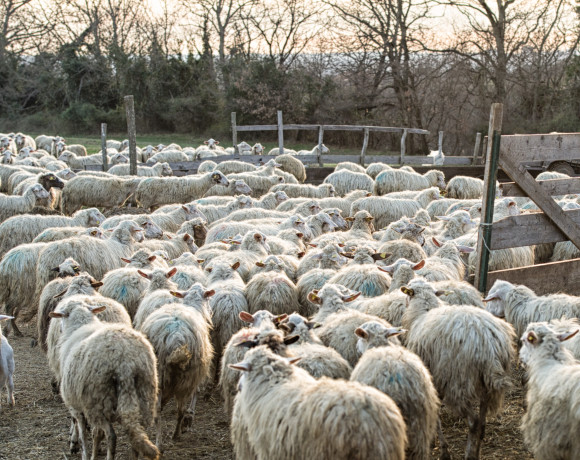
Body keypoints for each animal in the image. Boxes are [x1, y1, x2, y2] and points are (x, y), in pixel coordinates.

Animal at [49, 300, 159, 458]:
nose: (59, 330)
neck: (79, 326)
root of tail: (125, 361)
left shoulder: (75, 404)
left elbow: (82, 432)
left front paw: (82, 451)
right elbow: (96, 434)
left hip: (98, 402)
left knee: (111, 436)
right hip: (144, 396)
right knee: (136, 437)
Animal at [139, 302, 214, 446]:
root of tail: (176, 338)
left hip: (166, 377)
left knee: (168, 410)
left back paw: (164, 439)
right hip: (180, 379)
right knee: (178, 409)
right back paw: (172, 435)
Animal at [398, 276, 516, 460]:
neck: (423, 311)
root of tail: (488, 343)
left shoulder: (433, 376)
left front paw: (442, 449)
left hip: (458, 382)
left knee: (474, 421)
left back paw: (469, 454)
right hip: (487, 385)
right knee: (482, 420)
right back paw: (477, 451)